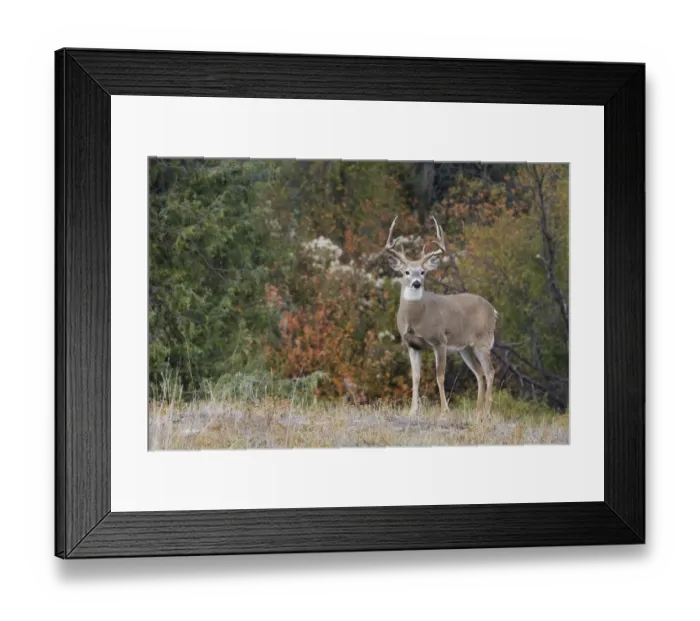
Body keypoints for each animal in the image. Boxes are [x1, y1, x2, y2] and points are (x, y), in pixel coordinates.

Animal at [384, 216, 499, 421]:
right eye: (406, 272)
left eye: (422, 272)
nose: (416, 283)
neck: (416, 319)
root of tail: (493, 310)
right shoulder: (412, 344)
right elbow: (415, 376)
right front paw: (412, 410)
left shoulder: (440, 341)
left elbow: (439, 376)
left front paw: (445, 411)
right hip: (466, 348)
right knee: (479, 373)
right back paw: (477, 412)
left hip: (483, 341)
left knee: (490, 372)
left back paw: (486, 413)